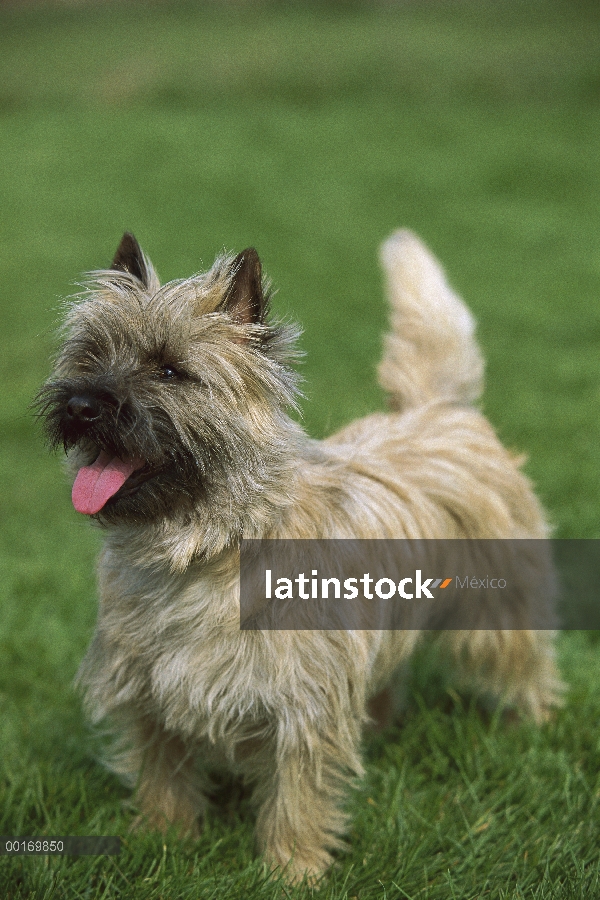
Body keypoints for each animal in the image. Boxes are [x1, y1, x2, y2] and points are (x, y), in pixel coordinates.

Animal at [37, 232, 564, 884]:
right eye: (89, 356)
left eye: (170, 369)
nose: (82, 404)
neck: (207, 548)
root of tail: (441, 409)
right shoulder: (149, 688)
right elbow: (164, 770)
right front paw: (163, 840)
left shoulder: (303, 703)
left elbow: (297, 792)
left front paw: (292, 871)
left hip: (497, 616)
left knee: (525, 667)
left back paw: (532, 729)